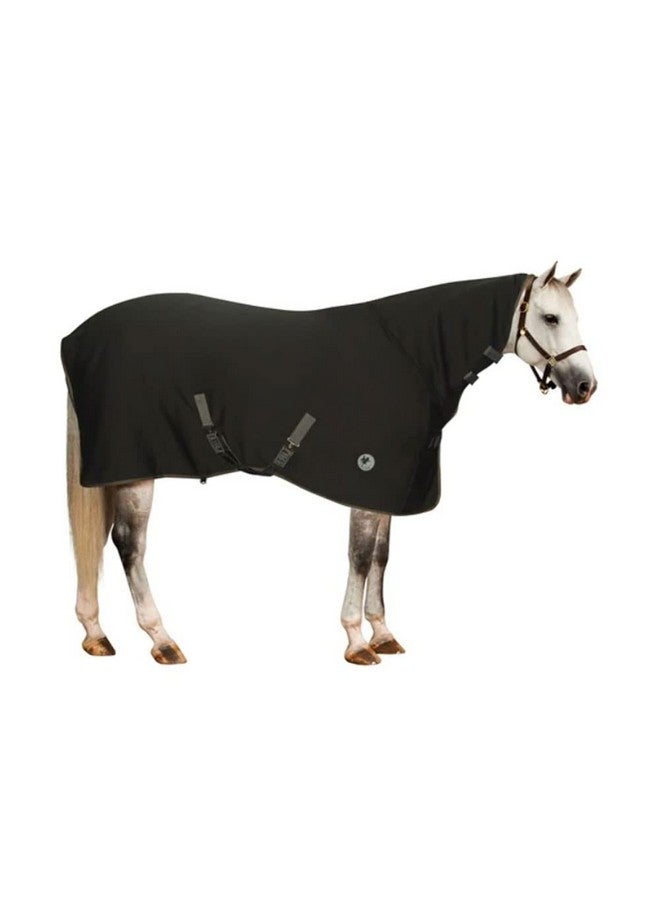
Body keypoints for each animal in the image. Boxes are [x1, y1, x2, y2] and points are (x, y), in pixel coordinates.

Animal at [63, 262, 596, 665]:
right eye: (550, 318)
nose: (585, 386)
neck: (413, 355)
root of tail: (76, 338)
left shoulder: (387, 487)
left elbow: (381, 557)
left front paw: (383, 634)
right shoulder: (365, 478)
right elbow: (359, 557)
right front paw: (357, 642)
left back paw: (96, 633)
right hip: (134, 469)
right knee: (129, 545)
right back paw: (161, 639)